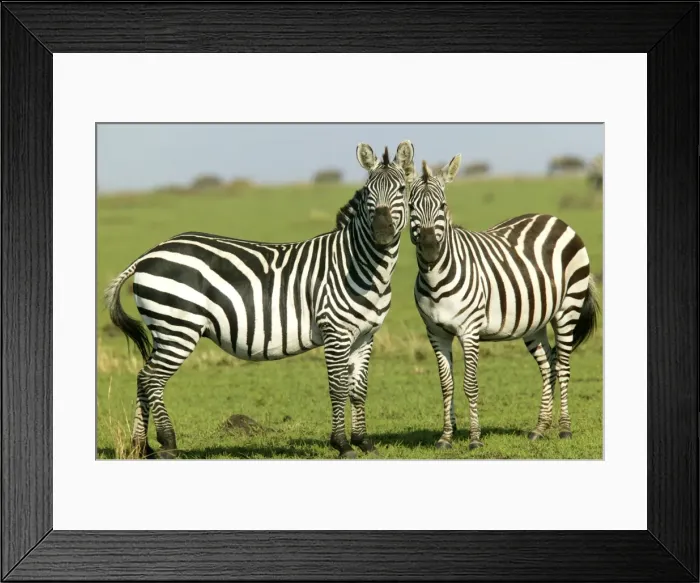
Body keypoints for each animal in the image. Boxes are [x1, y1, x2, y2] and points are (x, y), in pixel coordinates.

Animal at [103, 140, 416, 459]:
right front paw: (342, 444)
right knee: (151, 378)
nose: (382, 232)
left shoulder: (365, 335)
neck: (361, 266)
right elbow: (339, 388)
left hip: (165, 329)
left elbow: (358, 389)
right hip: (178, 327)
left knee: (142, 377)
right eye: (368, 190)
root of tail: (148, 254)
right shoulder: (336, 331)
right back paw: (167, 442)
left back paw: (141, 446)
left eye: (402, 189)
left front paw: (363, 441)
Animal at [407, 155, 600, 450]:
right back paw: (539, 429)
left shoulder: (469, 330)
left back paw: (565, 429)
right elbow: (446, 385)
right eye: (410, 206)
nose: (430, 248)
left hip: (568, 309)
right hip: (534, 322)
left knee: (563, 366)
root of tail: (554, 219)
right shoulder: (435, 332)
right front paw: (445, 437)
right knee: (548, 367)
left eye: (442, 206)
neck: (435, 279)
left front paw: (475, 439)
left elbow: (470, 384)